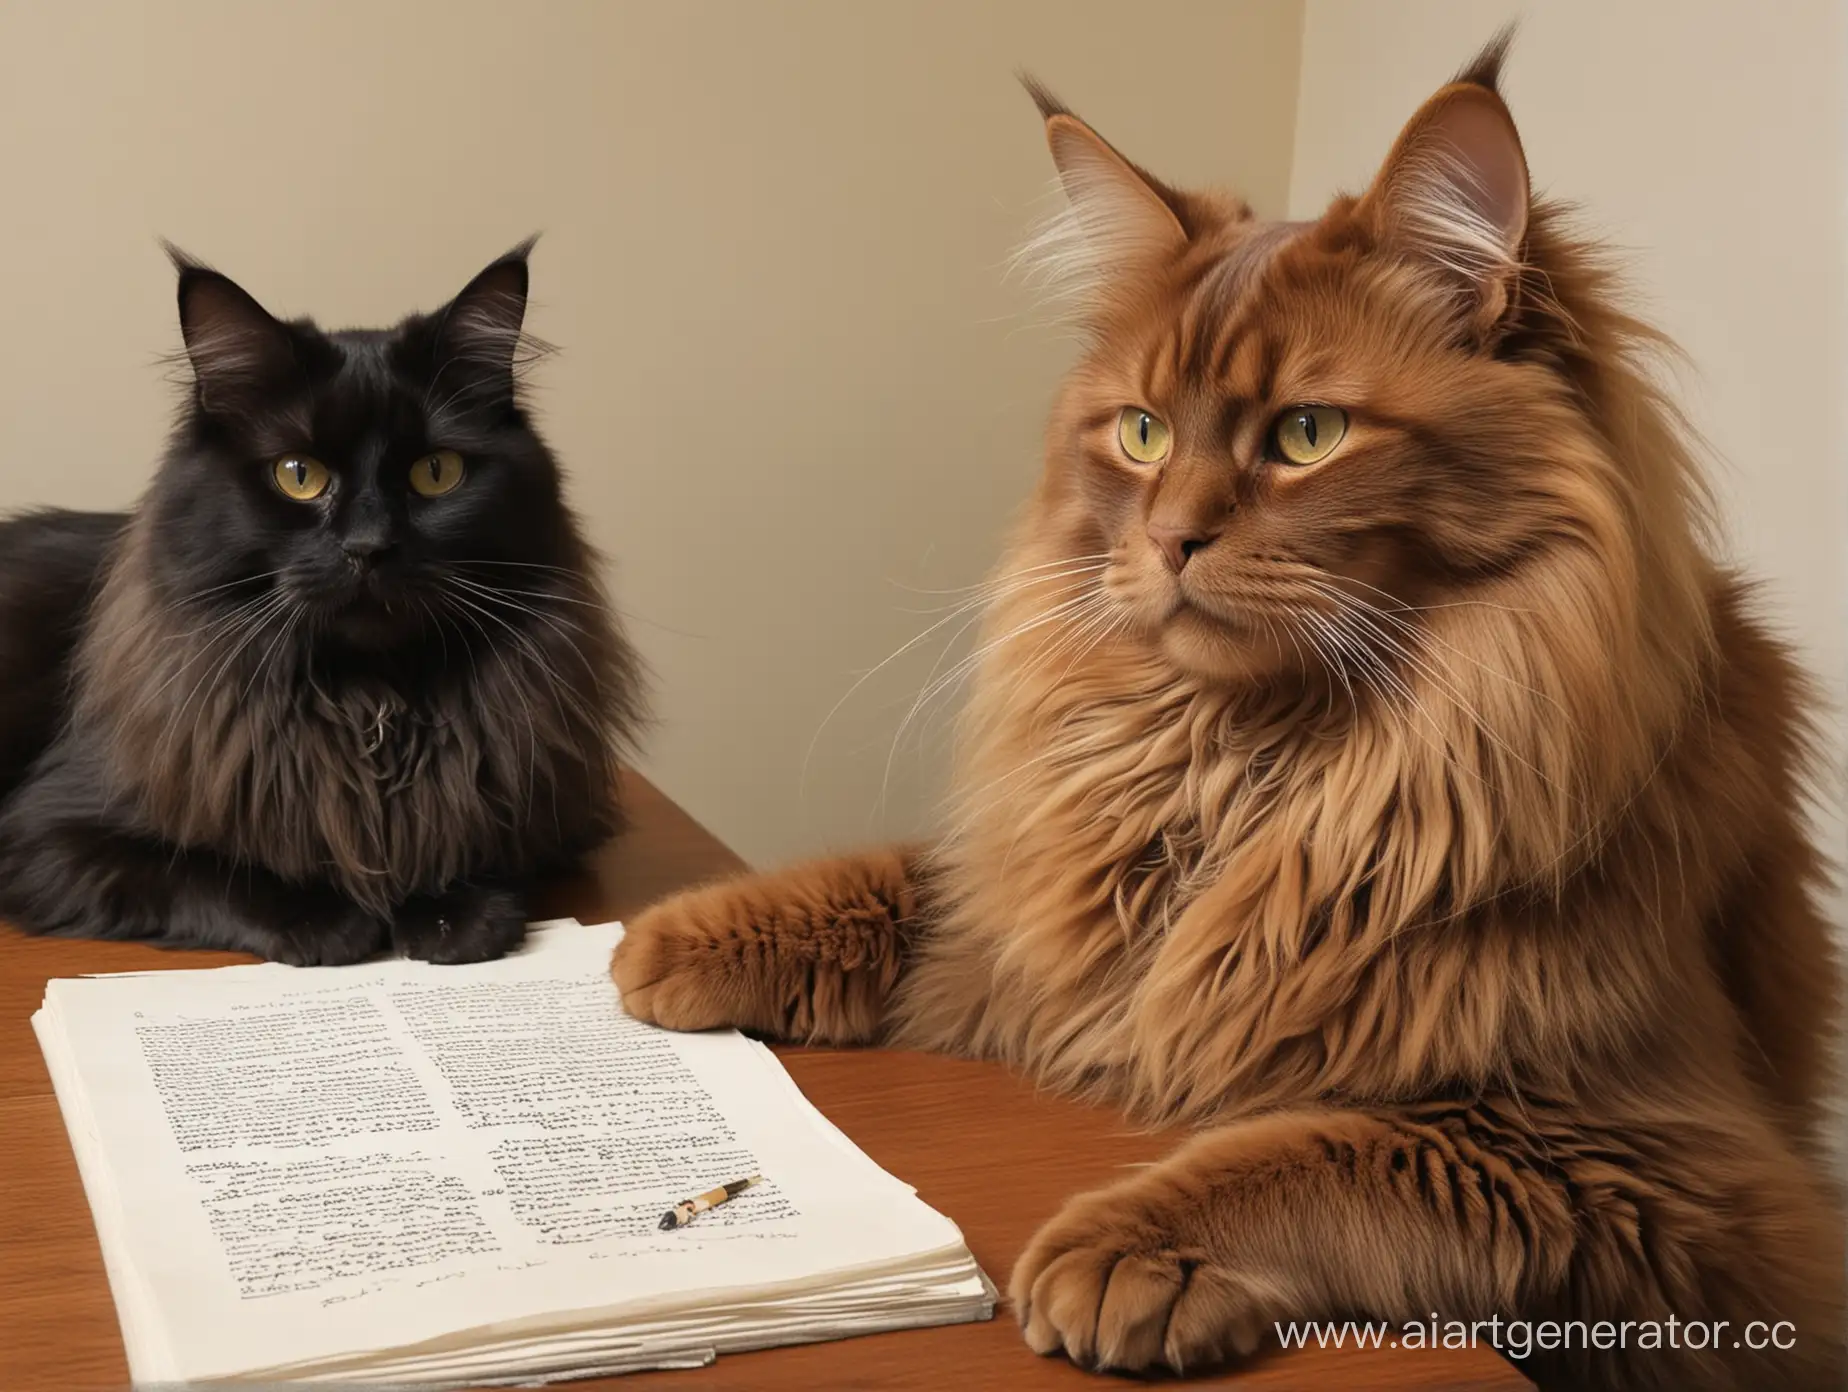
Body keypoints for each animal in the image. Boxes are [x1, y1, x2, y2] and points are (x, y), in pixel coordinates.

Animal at [0, 244, 646, 961]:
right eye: (298, 475)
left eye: (436, 473)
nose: (369, 546)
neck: (370, 705)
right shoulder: (52, 832)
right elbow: (216, 866)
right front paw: (333, 917)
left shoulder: (547, 800)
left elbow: (470, 838)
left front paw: (450, 912)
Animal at [613, 35, 1840, 1390]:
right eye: (1143, 434)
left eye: (1308, 434)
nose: (1171, 538)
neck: (1246, 766)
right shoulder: (1048, 924)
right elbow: (918, 882)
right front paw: (670, 940)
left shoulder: (1653, 1165)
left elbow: (1326, 1151)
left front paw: (1125, 1250)